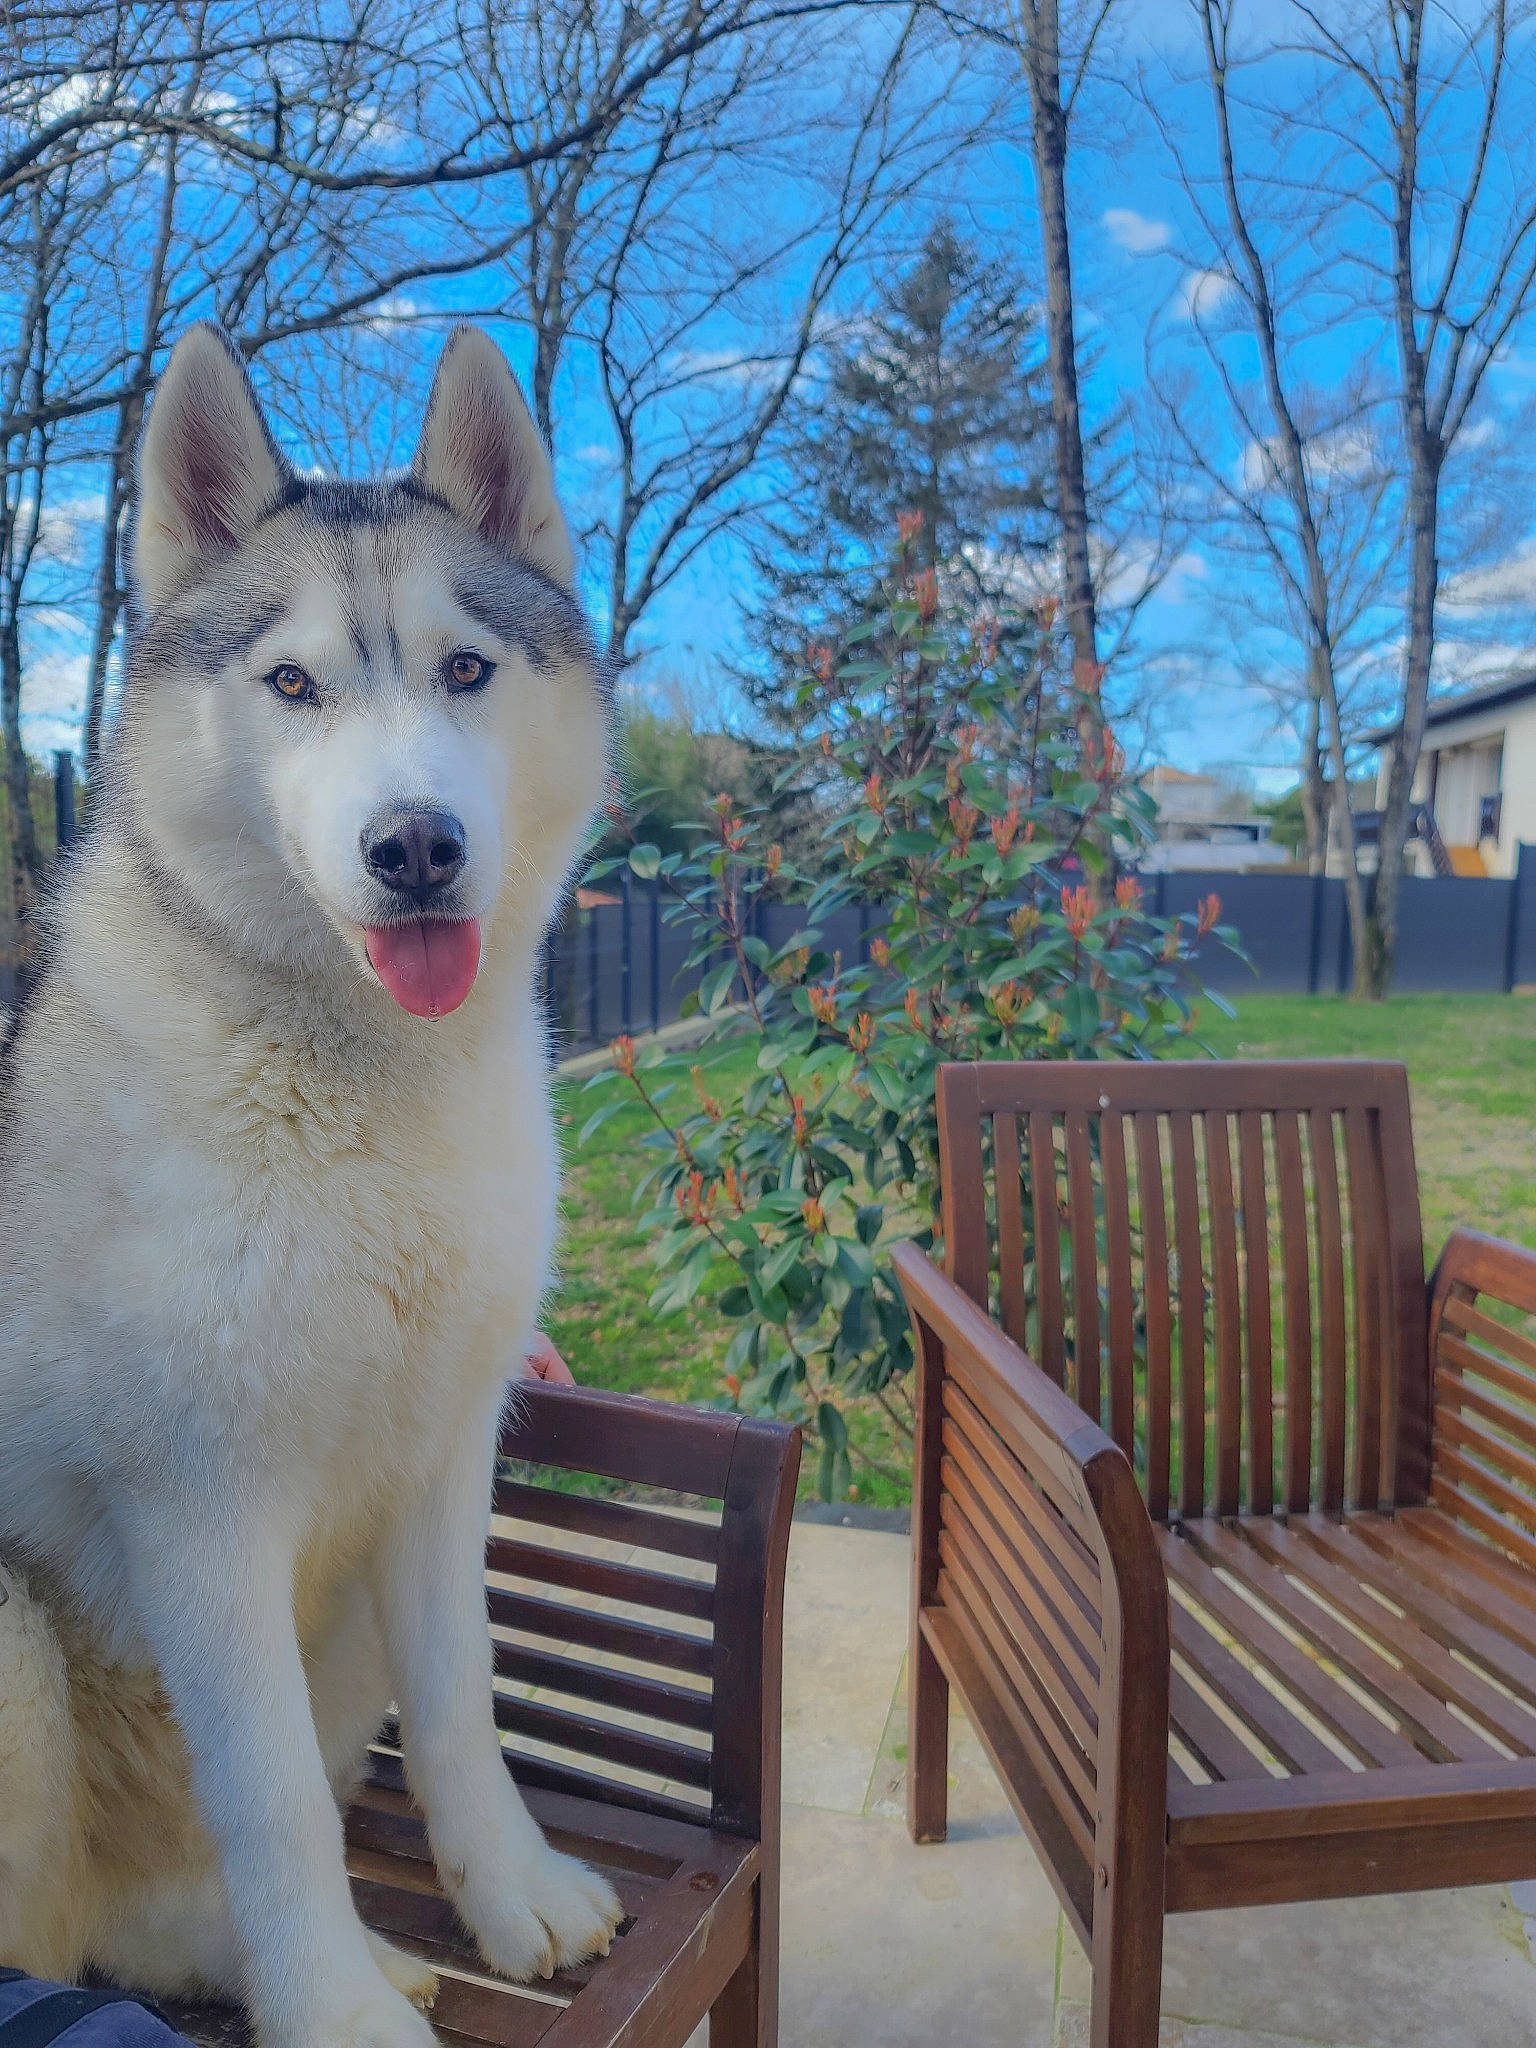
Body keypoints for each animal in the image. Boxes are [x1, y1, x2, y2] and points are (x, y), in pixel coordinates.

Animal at [0, 323, 625, 2048]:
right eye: (292, 684)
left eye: (466, 671)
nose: (414, 846)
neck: (361, 1090)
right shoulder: (201, 1510)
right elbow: (274, 1798)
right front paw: (331, 2010)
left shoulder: (444, 1456)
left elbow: (465, 1703)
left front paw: (507, 1892)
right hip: (14, 1634)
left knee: (133, 1922)